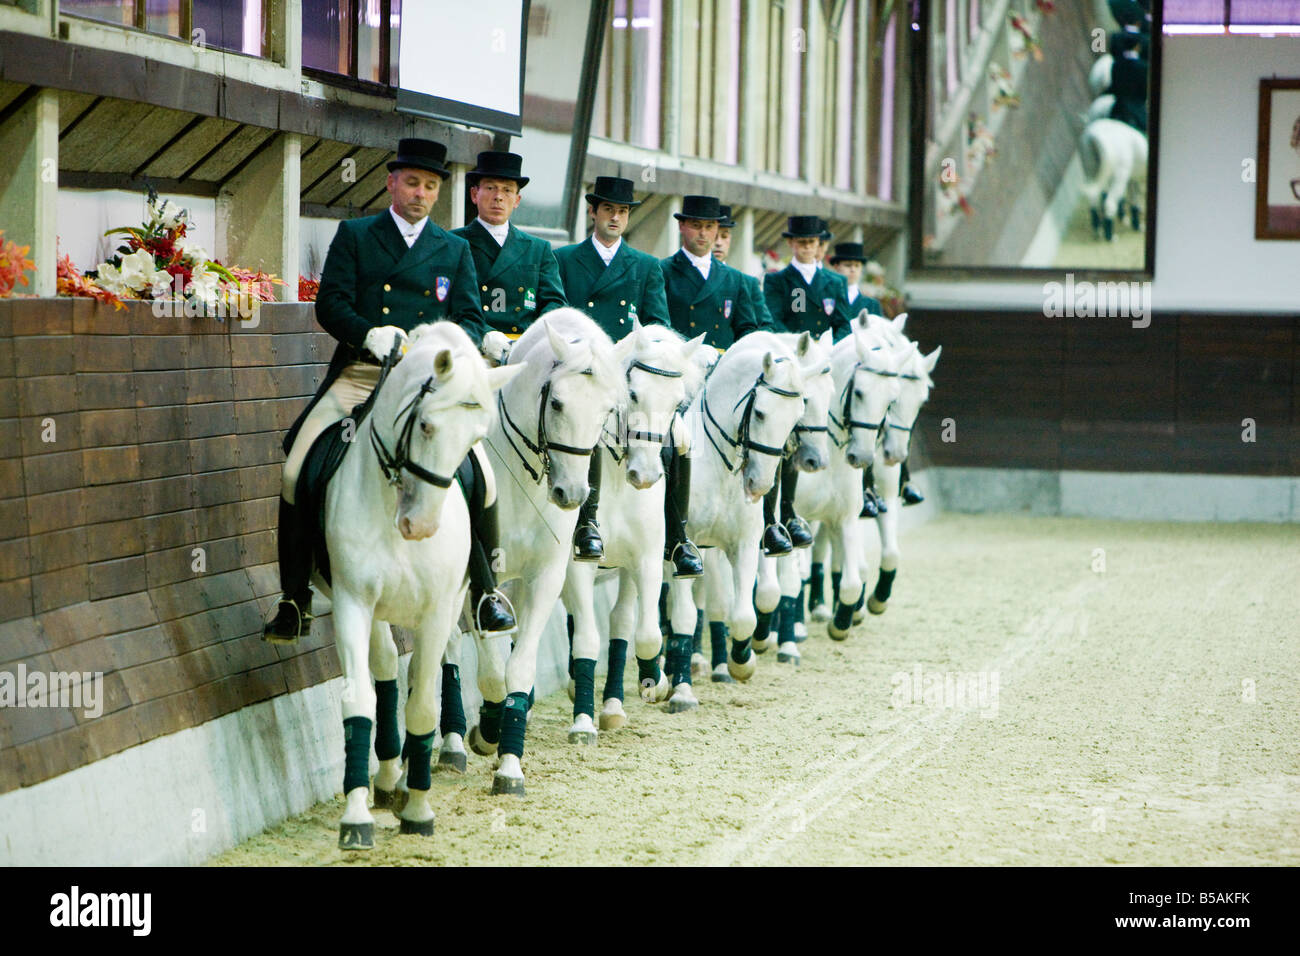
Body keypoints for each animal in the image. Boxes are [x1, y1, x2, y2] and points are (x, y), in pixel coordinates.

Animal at [321, 325, 522, 848]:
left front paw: (418, 809)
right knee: (386, 670)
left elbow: (422, 708)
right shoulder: (352, 601)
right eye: (426, 426)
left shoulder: (436, 611)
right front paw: (356, 816)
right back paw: (389, 775)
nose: (421, 527)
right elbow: (359, 700)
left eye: (476, 438)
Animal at [460, 310, 621, 796]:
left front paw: (509, 763)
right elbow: (492, 672)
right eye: (558, 405)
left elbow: (519, 667)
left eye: (606, 411)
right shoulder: (481, 579)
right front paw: (488, 731)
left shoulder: (546, 575)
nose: (570, 494)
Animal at [559, 321, 702, 738]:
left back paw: (614, 703)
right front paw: (583, 722)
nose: (647, 476)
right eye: (633, 393)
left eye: (677, 403)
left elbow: (647, 635)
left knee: (622, 621)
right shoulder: (577, 565)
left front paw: (657, 681)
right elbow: (587, 639)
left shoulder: (647, 560)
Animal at [670, 330, 800, 712]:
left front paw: (744, 658)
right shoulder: (683, 550)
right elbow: (683, 615)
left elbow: (746, 612)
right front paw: (681, 691)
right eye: (760, 412)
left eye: (795, 418)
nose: (759, 485)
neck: (719, 466)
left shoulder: (742, 543)